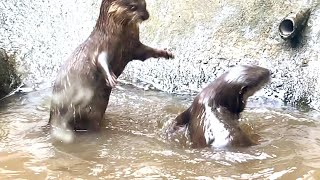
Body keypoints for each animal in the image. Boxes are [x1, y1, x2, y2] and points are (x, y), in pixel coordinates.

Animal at [49, 0, 175, 142]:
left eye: (145, 4)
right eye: (133, 6)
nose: (146, 16)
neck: (117, 35)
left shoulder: (134, 46)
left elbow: (146, 52)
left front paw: (166, 53)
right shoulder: (101, 47)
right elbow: (101, 62)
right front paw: (111, 78)